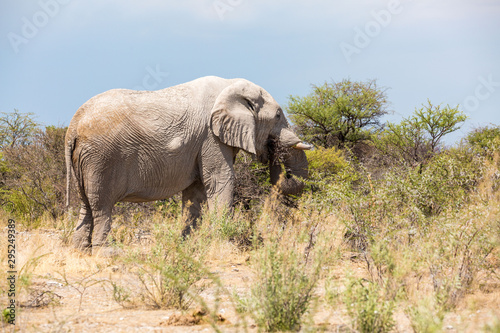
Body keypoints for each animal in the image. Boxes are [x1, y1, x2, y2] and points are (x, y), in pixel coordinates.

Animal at [64, 76, 310, 254]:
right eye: (278, 115)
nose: (275, 149)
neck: (230, 86)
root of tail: (73, 126)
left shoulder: (202, 143)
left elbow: (196, 190)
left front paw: (187, 246)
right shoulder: (211, 137)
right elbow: (220, 180)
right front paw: (224, 243)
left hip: (85, 160)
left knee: (86, 204)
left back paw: (79, 251)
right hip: (101, 158)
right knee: (102, 205)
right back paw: (106, 253)